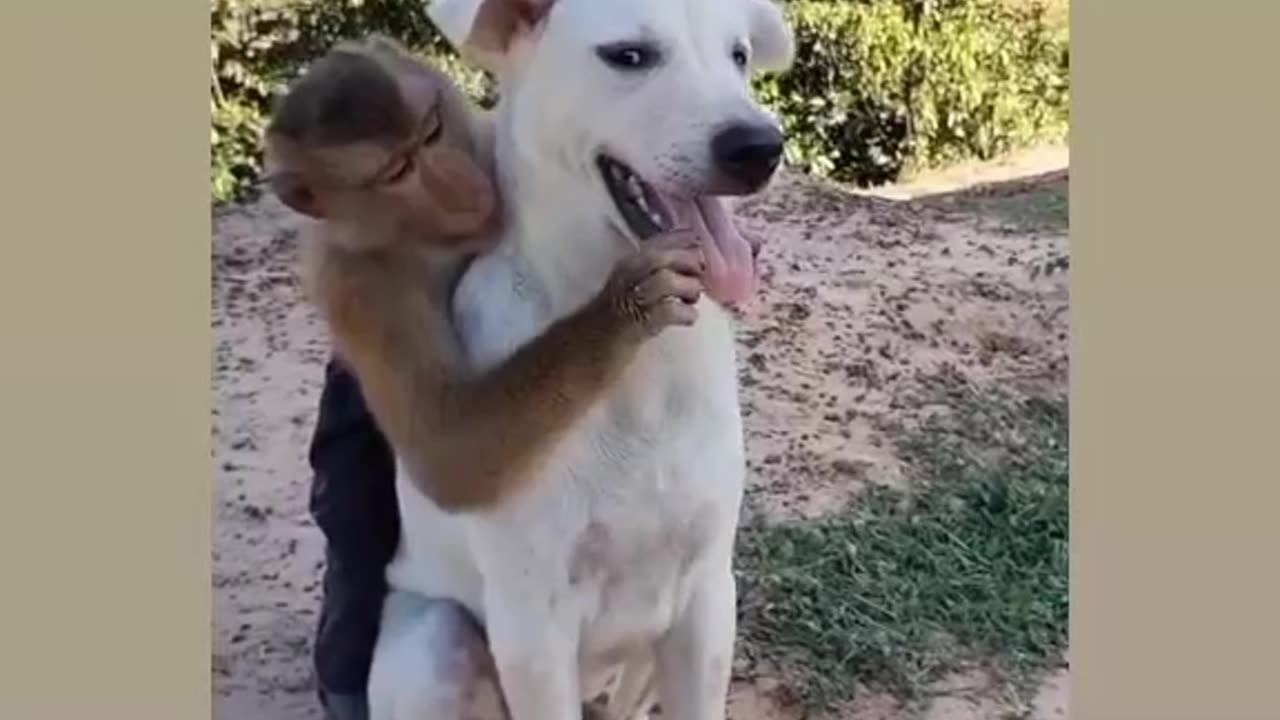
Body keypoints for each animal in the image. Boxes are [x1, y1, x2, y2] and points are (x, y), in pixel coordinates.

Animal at [258, 36, 701, 509]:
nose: (459, 185)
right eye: (397, 171)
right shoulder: (358, 291)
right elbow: (449, 454)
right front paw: (624, 305)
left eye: (432, 130)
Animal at [366, 0, 793, 712]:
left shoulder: (708, 596)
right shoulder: (531, 631)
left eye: (738, 55)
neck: (635, 361)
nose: (761, 148)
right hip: (434, 646)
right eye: (629, 56)